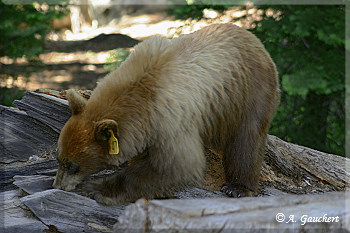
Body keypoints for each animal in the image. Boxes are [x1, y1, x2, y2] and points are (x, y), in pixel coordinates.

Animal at [53, 23, 280, 205]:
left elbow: (180, 165)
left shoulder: (170, 118)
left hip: (249, 90)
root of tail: (253, 38)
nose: (57, 185)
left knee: (247, 138)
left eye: (72, 166)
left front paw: (98, 188)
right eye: (59, 157)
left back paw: (237, 187)